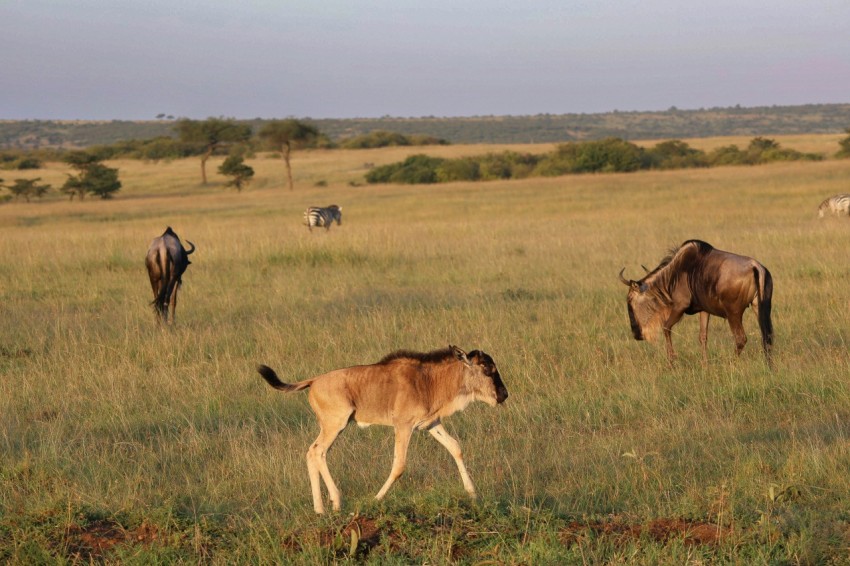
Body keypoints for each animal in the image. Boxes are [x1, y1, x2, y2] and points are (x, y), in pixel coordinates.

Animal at [255, 346, 506, 516]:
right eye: (486, 368)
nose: (504, 395)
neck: (428, 380)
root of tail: (314, 381)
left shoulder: (430, 424)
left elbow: (455, 448)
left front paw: (472, 494)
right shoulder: (403, 427)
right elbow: (399, 465)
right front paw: (376, 499)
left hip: (332, 427)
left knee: (311, 452)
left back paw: (319, 509)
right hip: (336, 425)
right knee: (317, 452)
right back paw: (335, 501)